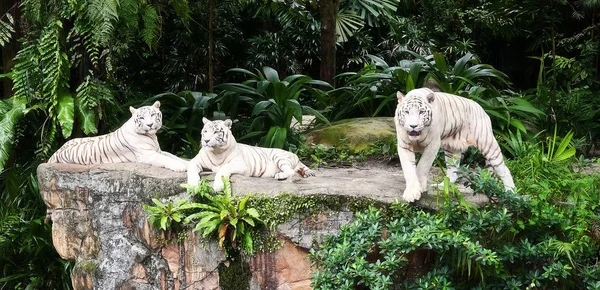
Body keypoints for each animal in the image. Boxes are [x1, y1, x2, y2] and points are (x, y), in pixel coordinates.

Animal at [47, 101, 188, 172]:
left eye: (153, 114)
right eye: (142, 118)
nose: (149, 124)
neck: (151, 137)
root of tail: (58, 151)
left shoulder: (159, 150)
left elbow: (173, 156)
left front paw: (186, 162)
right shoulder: (148, 154)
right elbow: (166, 159)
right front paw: (180, 167)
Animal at [188, 116, 316, 191]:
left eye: (215, 132)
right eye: (205, 131)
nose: (206, 140)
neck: (216, 152)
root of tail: (296, 156)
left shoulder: (240, 164)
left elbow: (224, 168)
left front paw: (218, 186)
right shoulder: (194, 161)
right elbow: (191, 170)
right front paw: (192, 186)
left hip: (279, 156)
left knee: (291, 171)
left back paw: (280, 175)